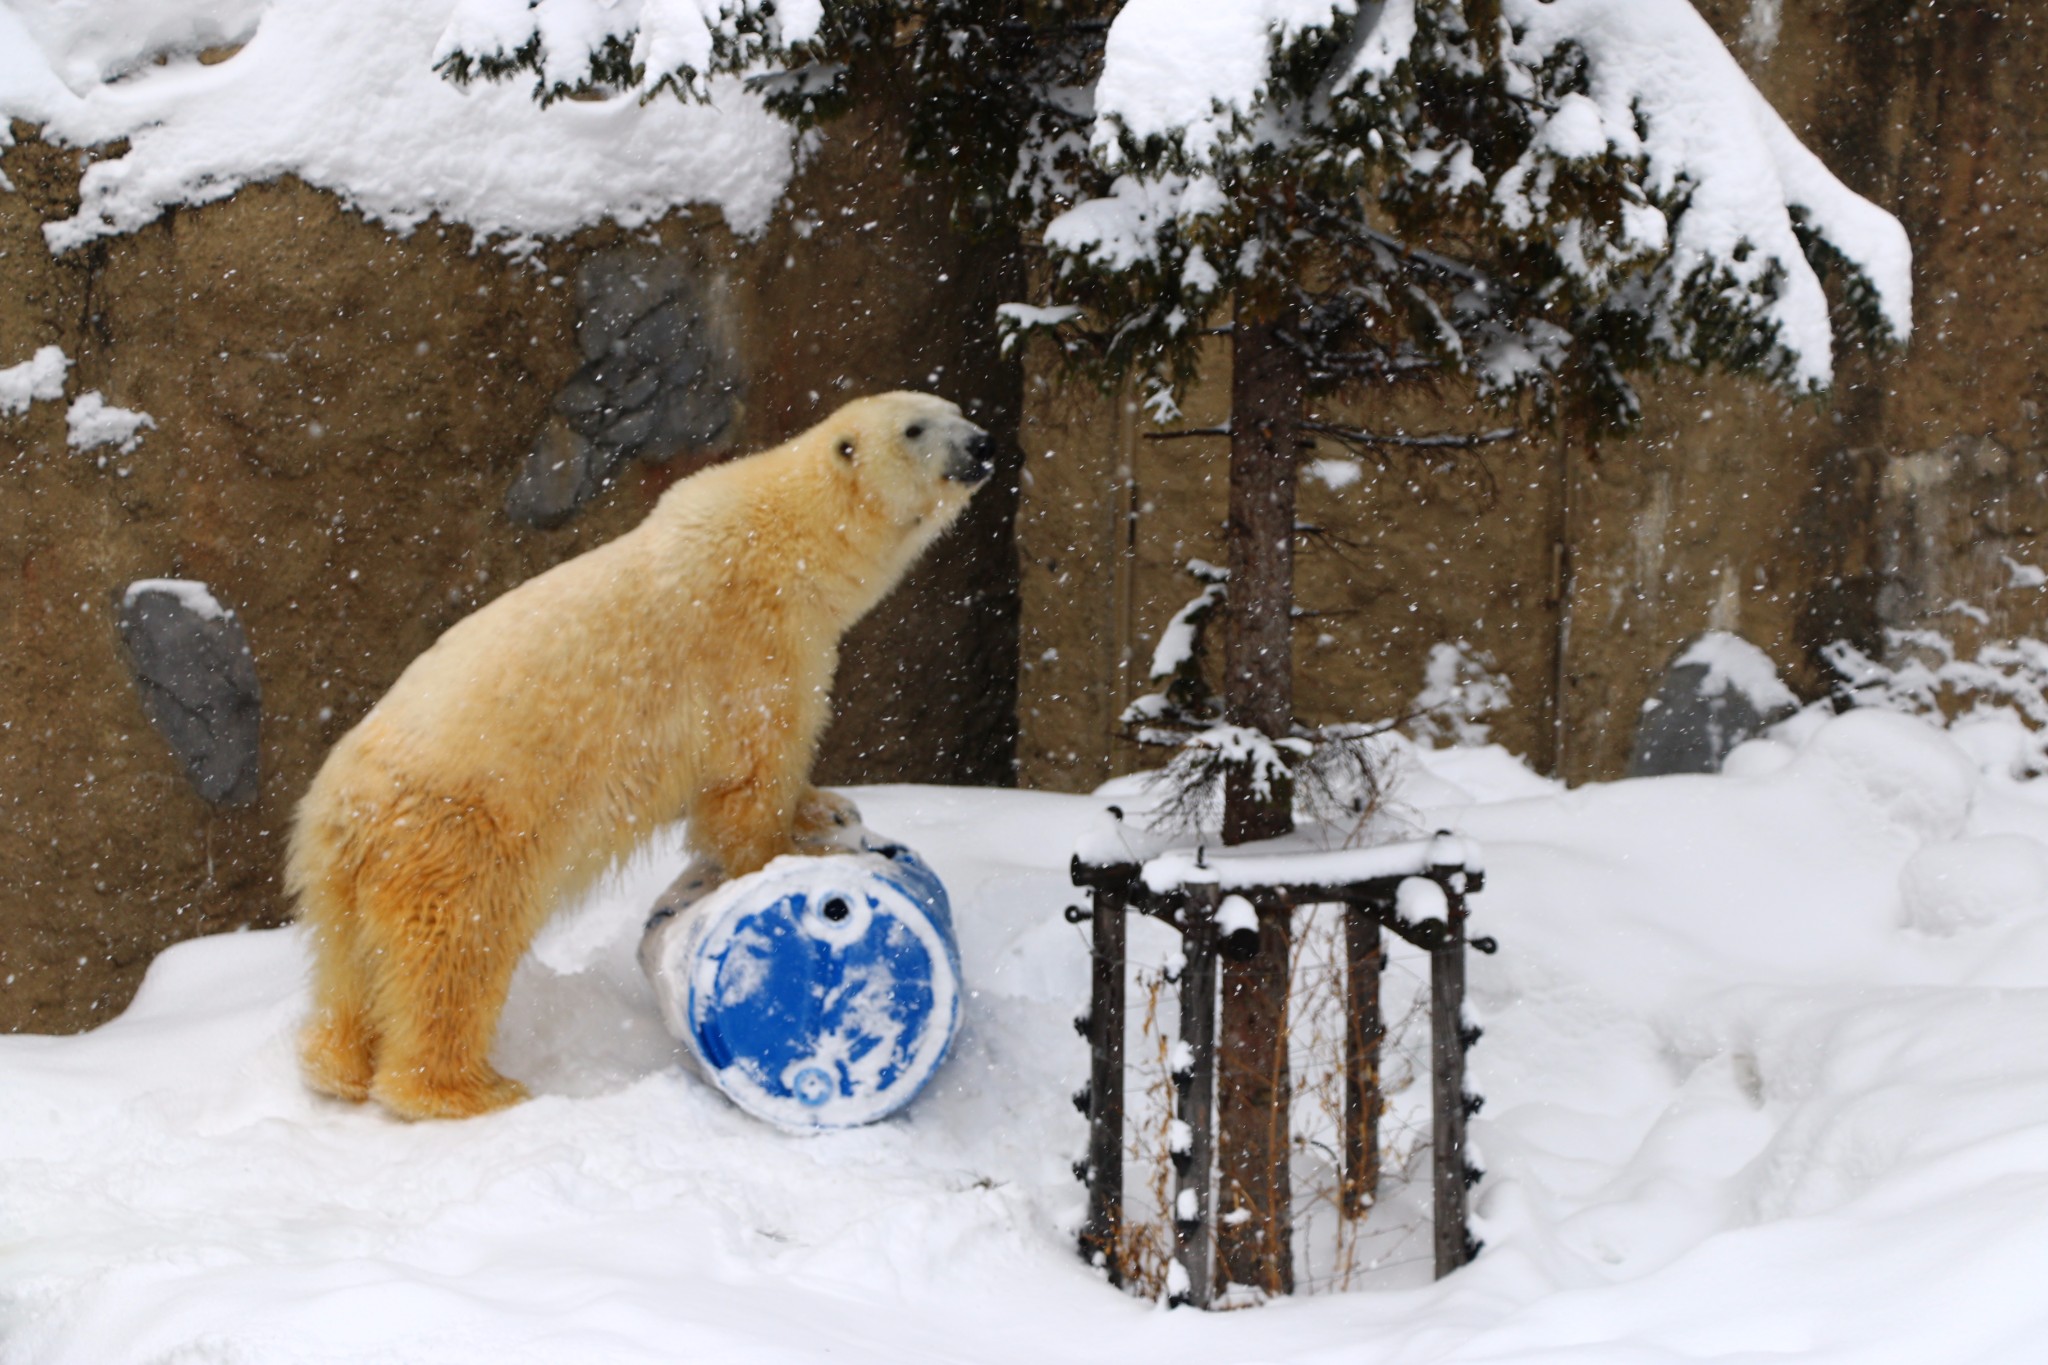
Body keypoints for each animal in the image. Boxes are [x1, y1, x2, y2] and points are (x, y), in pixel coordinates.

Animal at [286, 388, 991, 1113]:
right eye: (915, 429)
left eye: (956, 409)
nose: (983, 444)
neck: (785, 541)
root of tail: (338, 809)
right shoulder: (752, 649)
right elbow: (751, 773)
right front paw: (789, 857)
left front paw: (828, 808)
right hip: (457, 834)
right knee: (456, 949)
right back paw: (468, 1089)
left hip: (346, 866)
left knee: (349, 960)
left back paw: (336, 1062)